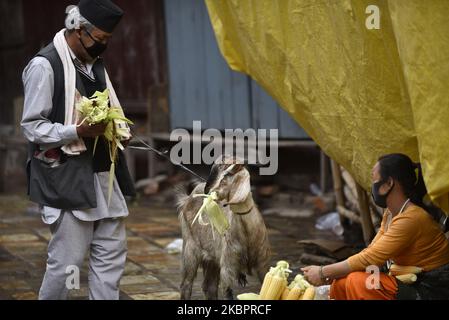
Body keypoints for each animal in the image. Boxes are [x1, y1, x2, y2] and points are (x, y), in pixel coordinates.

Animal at [177, 155, 272, 300]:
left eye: (226, 175)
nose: (208, 191)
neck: (247, 233)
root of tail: (188, 197)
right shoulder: (228, 266)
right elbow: (227, 292)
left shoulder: (263, 263)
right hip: (190, 250)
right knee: (186, 284)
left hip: (213, 258)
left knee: (208, 286)